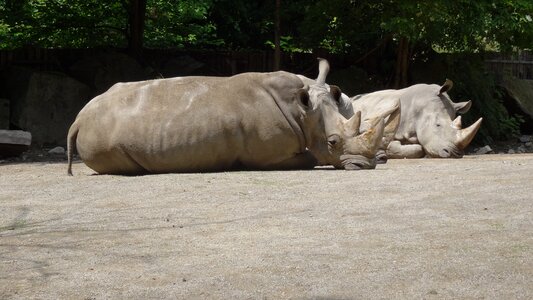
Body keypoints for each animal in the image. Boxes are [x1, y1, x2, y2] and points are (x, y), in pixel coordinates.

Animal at [66, 59, 384, 176]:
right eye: (333, 142)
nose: (365, 165)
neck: (303, 110)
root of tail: (78, 119)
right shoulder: (269, 157)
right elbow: (309, 158)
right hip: (102, 134)